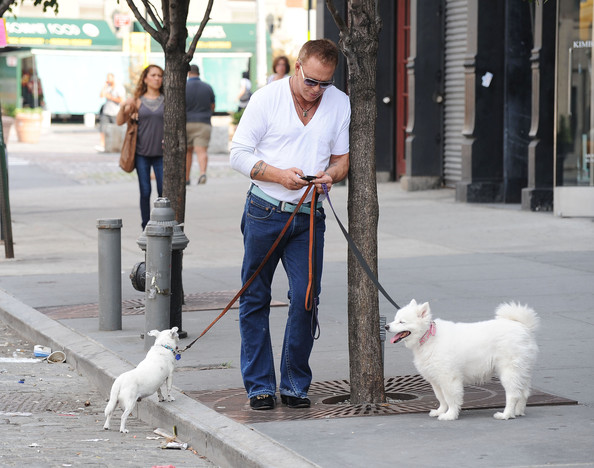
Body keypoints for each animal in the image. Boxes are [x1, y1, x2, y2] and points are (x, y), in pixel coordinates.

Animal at [384, 302, 536, 422]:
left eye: (402, 322)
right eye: (395, 319)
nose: (386, 326)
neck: (428, 337)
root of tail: (522, 326)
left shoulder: (448, 378)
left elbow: (450, 398)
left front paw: (450, 415)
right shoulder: (435, 379)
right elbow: (441, 398)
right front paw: (440, 411)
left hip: (509, 371)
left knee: (513, 394)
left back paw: (506, 415)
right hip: (522, 371)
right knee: (524, 393)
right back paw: (518, 412)